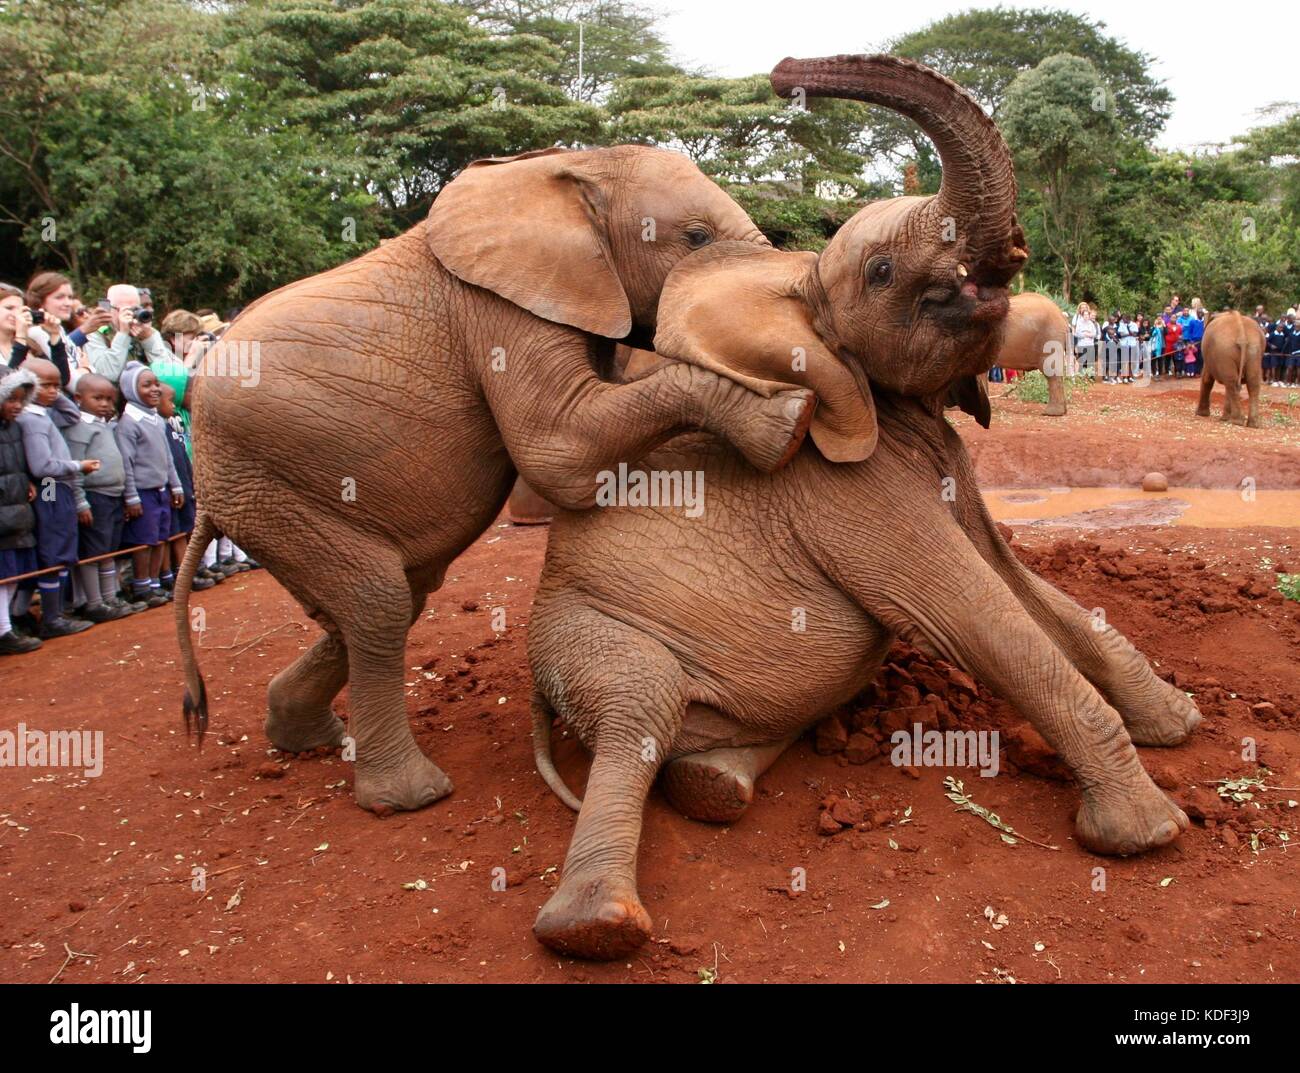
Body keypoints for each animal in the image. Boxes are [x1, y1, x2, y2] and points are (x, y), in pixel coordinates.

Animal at [176, 142, 816, 811]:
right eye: (696, 238)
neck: (573, 168)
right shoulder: (501, 312)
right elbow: (560, 452)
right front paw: (788, 422)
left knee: (395, 594)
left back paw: (306, 738)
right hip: (264, 475)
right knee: (379, 602)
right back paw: (412, 796)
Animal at [525, 238, 1196, 957]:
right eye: (880, 271)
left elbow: (1014, 580)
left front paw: (1180, 724)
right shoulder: (843, 484)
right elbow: (973, 616)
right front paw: (1151, 835)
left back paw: (714, 784)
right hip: (576, 627)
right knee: (640, 696)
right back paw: (596, 927)